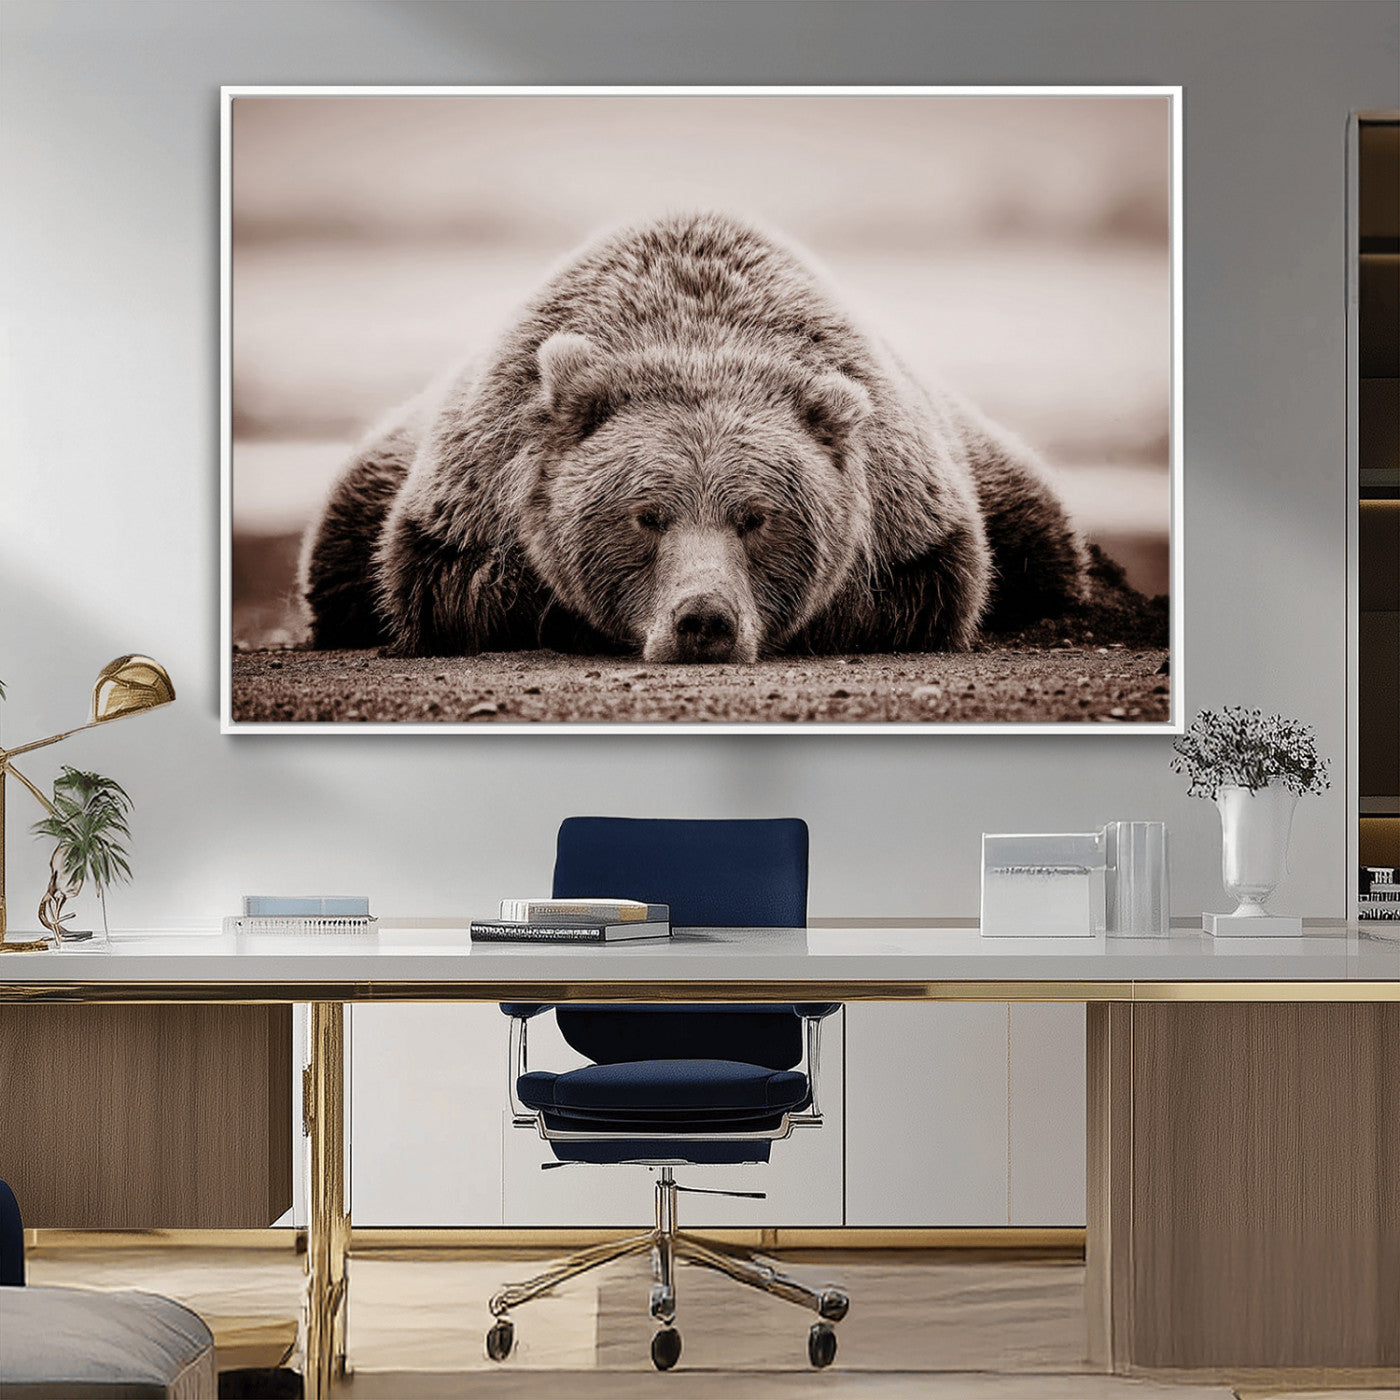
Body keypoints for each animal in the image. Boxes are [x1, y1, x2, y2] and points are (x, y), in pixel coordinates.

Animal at [300, 211, 1088, 663]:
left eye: (757, 517)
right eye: (647, 515)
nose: (703, 620)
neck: (697, 336)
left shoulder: (910, 511)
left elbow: (925, 588)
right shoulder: (472, 495)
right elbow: (451, 586)